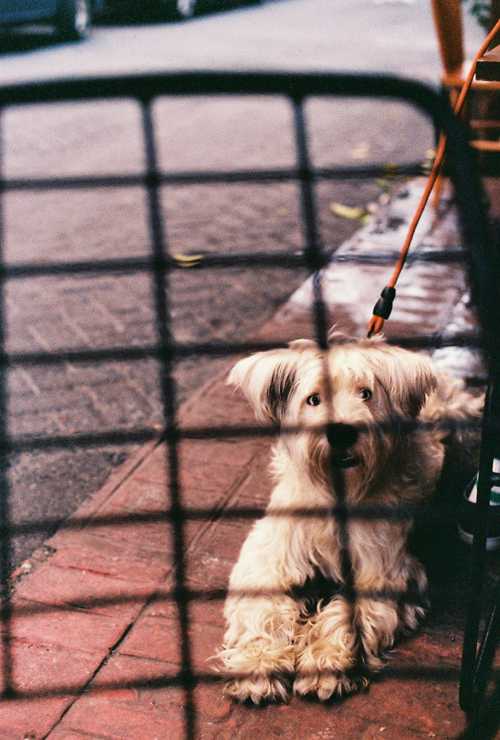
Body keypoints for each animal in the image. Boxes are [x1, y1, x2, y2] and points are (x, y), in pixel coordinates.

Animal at [217, 334, 482, 704]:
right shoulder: (269, 559)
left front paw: (325, 662)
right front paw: (258, 663)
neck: (337, 494)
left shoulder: (382, 570)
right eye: (314, 399)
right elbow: (262, 609)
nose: (341, 432)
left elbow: (347, 615)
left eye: (366, 393)